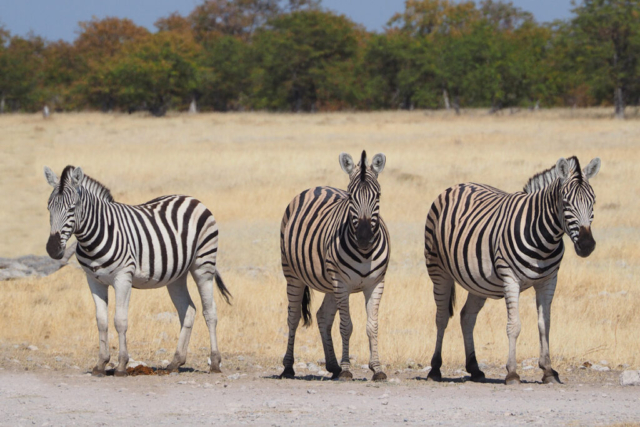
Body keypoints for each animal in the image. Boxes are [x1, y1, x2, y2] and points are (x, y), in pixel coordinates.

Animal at [43, 166, 231, 378]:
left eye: (72, 208)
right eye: (49, 207)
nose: (52, 249)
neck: (92, 237)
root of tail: (191, 199)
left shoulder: (123, 277)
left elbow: (120, 320)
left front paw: (121, 366)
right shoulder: (93, 280)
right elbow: (101, 321)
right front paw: (100, 364)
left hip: (203, 265)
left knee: (210, 311)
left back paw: (214, 363)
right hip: (176, 275)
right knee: (188, 310)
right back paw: (175, 362)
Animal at [280, 150, 390, 382]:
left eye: (378, 196)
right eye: (350, 196)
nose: (364, 238)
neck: (365, 253)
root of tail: (317, 187)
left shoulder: (376, 283)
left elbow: (372, 326)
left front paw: (377, 368)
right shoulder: (342, 284)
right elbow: (346, 326)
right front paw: (347, 368)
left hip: (330, 283)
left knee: (322, 316)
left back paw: (333, 366)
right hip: (293, 274)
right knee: (293, 317)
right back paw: (288, 368)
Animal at [424, 156, 600, 384]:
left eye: (593, 201)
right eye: (566, 202)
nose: (587, 245)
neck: (545, 239)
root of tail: (457, 186)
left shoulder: (549, 280)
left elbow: (545, 324)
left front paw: (548, 370)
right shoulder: (510, 278)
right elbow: (514, 326)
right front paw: (512, 372)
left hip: (478, 282)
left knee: (467, 317)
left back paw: (474, 368)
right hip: (438, 271)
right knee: (442, 317)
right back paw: (435, 369)